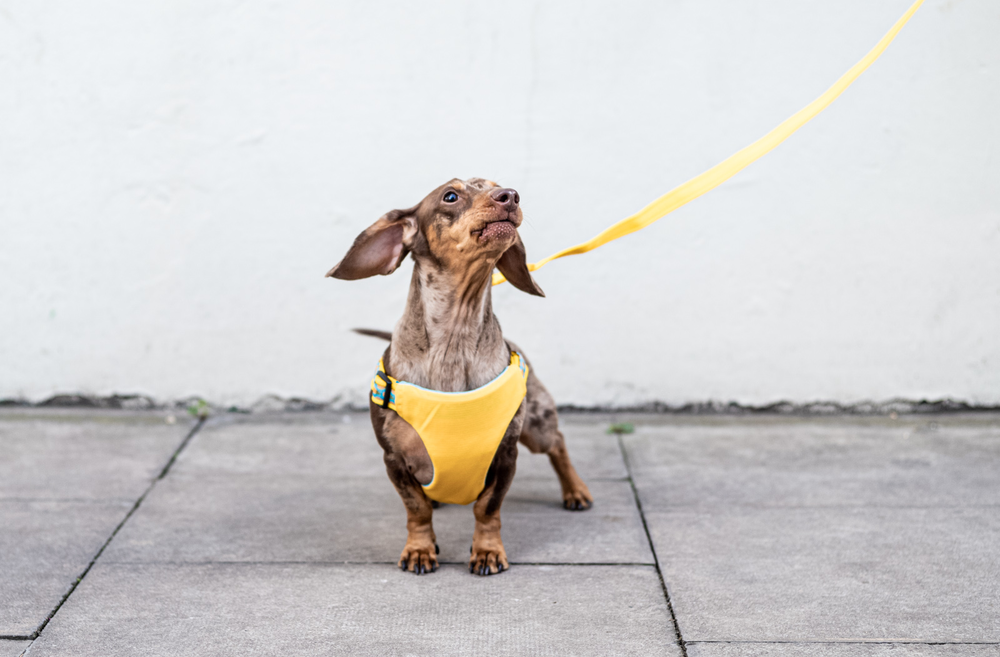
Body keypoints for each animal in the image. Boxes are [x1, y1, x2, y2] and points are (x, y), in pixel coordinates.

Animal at [328, 178, 592, 576]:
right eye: (450, 196)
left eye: (499, 185)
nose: (511, 197)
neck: (453, 344)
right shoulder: (393, 459)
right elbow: (417, 508)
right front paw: (420, 550)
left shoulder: (507, 455)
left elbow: (487, 508)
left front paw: (487, 551)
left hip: (537, 427)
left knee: (558, 443)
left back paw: (575, 491)